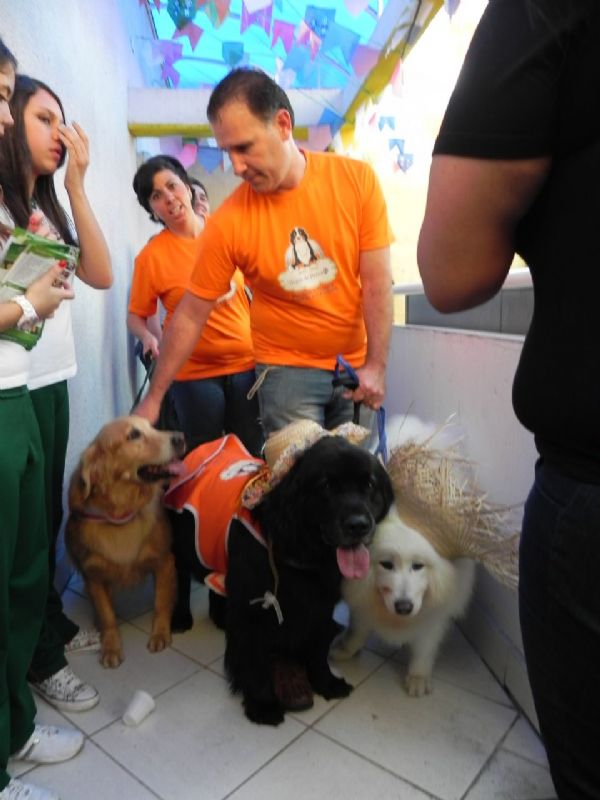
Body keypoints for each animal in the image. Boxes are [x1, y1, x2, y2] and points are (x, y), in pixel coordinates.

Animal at [65, 415, 185, 668]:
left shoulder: (165, 562)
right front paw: (110, 647)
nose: (180, 437)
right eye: (134, 435)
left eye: (152, 426)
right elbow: (107, 615)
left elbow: (161, 602)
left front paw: (160, 633)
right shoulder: (93, 576)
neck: (121, 515)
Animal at [165, 427, 393, 725]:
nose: (359, 525)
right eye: (326, 486)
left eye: (368, 485)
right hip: (182, 544)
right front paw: (262, 704)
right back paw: (181, 618)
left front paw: (326, 683)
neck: (298, 546)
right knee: (181, 580)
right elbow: (254, 659)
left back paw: (220, 617)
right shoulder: (253, 607)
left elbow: (318, 647)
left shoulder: (319, 603)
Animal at [332, 502, 475, 696]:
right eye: (386, 564)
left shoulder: (435, 615)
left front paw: (418, 677)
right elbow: (357, 632)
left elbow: (425, 648)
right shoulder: (361, 603)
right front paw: (343, 651)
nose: (404, 607)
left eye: (418, 566)